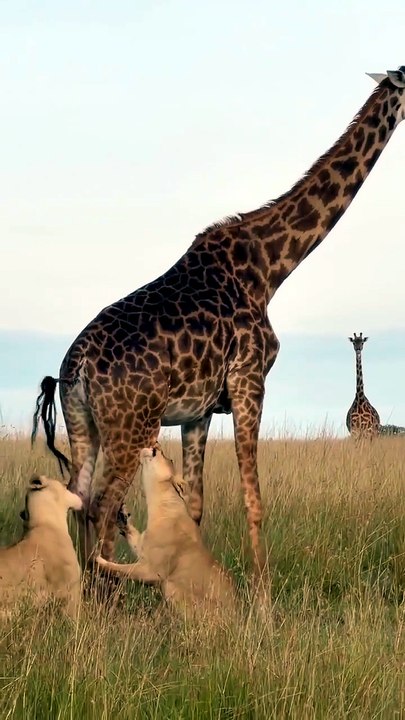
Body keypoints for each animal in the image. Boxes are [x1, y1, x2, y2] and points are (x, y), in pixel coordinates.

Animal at [32, 67, 405, 576]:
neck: (270, 266)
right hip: (130, 426)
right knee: (103, 506)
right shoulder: (250, 382)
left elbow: (195, 505)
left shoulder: (200, 411)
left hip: (82, 423)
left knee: (80, 499)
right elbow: (255, 501)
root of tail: (77, 365)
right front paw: (262, 597)